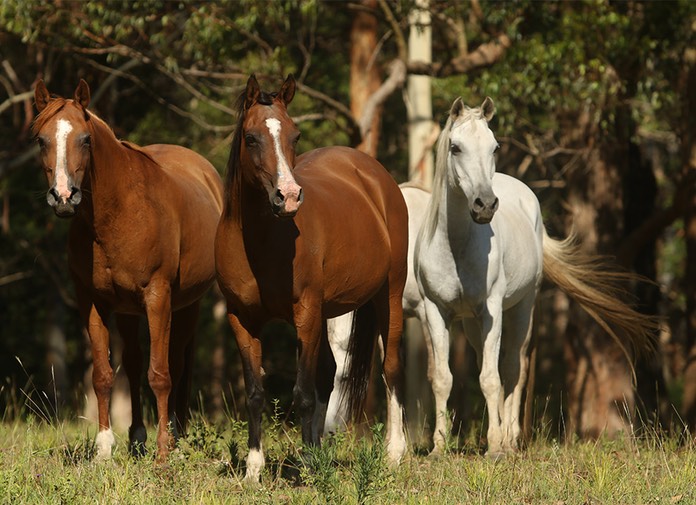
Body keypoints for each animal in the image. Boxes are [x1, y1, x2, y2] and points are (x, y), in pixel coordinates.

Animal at [33, 79, 223, 460]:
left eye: (85, 139)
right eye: (42, 140)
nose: (63, 197)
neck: (117, 212)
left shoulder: (158, 297)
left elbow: (161, 374)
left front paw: (163, 454)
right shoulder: (92, 301)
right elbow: (104, 375)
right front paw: (104, 449)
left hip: (187, 305)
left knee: (178, 363)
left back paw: (176, 437)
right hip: (128, 310)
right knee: (134, 366)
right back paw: (137, 437)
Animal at [216, 74, 408, 480]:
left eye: (295, 136)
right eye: (251, 138)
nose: (288, 197)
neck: (260, 241)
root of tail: (375, 176)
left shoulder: (304, 314)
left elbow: (302, 393)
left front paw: (306, 466)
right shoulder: (242, 319)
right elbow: (255, 393)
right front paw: (254, 469)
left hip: (389, 295)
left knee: (391, 368)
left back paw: (393, 453)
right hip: (329, 311)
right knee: (330, 372)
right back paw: (320, 449)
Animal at [416, 95, 656, 456]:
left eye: (495, 146)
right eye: (455, 147)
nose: (485, 205)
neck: (455, 245)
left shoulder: (492, 309)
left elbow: (492, 378)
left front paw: (495, 447)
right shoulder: (436, 310)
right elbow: (444, 378)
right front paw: (439, 448)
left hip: (521, 309)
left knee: (513, 368)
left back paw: (510, 439)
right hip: (473, 323)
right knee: (493, 366)